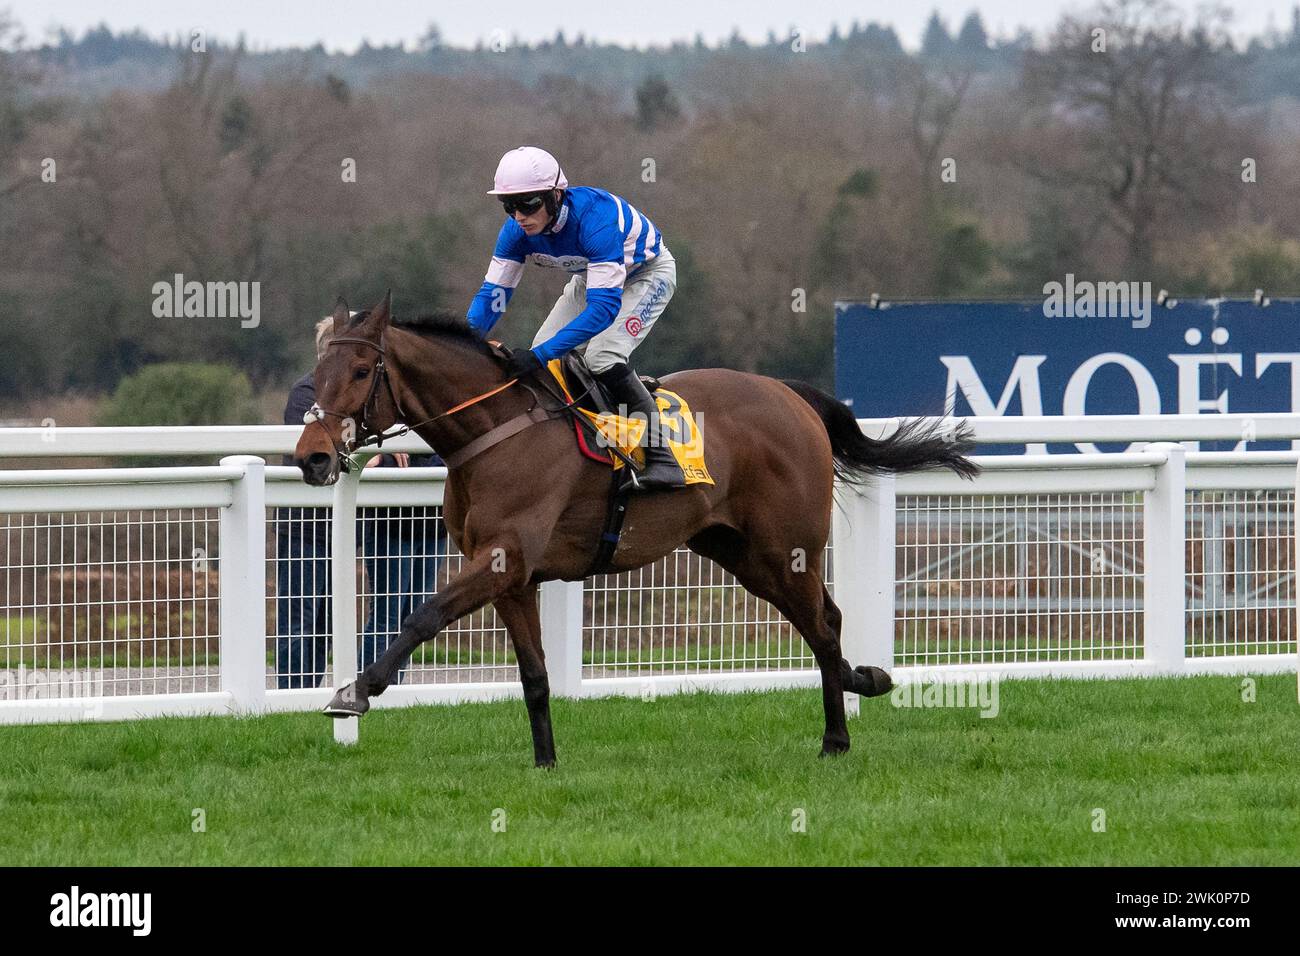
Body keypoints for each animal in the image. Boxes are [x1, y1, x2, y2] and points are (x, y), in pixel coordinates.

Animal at [297, 293, 977, 770]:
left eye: (360, 370)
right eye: (317, 369)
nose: (312, 457)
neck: (494, 430)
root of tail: (791, 394)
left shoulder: (499, 558)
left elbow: (421, 616)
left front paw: (355, 692)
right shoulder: (514, 578)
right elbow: (535, 675)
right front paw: (545, 763)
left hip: (787, 549)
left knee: (824, 626)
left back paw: (836, 737)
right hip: (740, 553)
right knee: (822, 625)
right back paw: (868, 678)